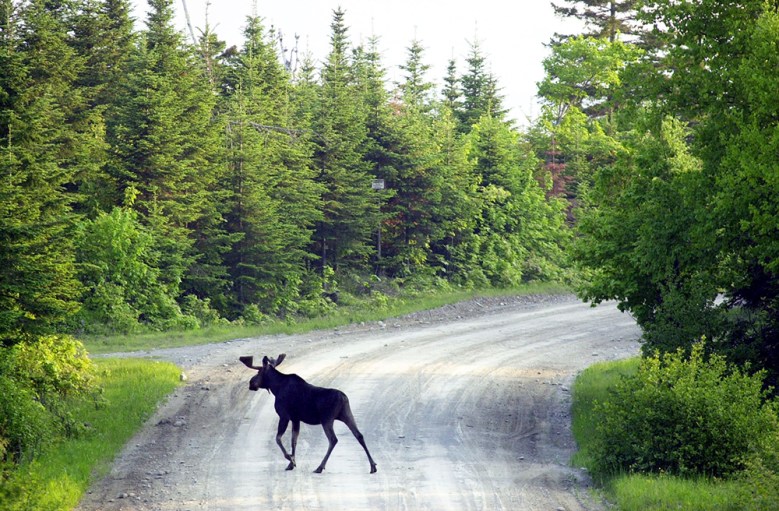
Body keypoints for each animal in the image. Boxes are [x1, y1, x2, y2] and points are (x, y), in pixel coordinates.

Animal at [240, 354, 377, 474]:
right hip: (346, 414)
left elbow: (278, 438)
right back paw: (373, 466)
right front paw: (291, 464)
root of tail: (343, 398)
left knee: (333, 439)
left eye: (258, 372)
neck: (275, 388)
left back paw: (320, 467)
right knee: (359, 435)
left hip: (327, 418)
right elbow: (294, 440)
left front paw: (291, 459)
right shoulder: (296, 418)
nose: (251, 383)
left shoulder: (284, 415)